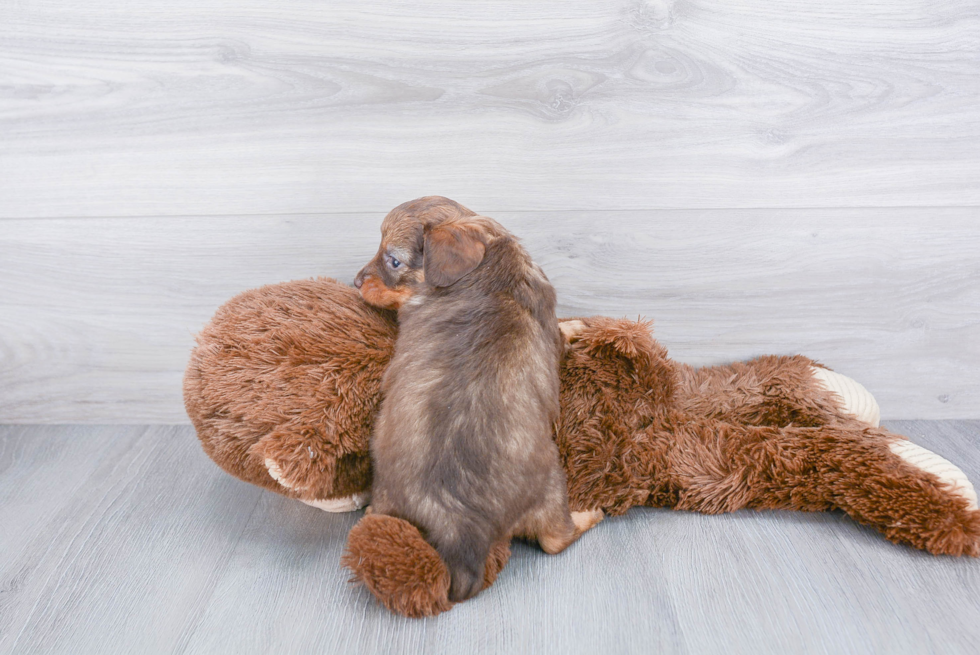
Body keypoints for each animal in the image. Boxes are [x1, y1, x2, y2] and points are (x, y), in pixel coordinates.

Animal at [352, 197, 596, 604]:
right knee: (555, 540)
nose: (355, 282)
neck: (486, 260)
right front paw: (578, 326)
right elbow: (562, 332)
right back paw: (590, 514)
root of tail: (457, 526)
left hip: (386, 494)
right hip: (551, 486)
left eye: (394, 261)